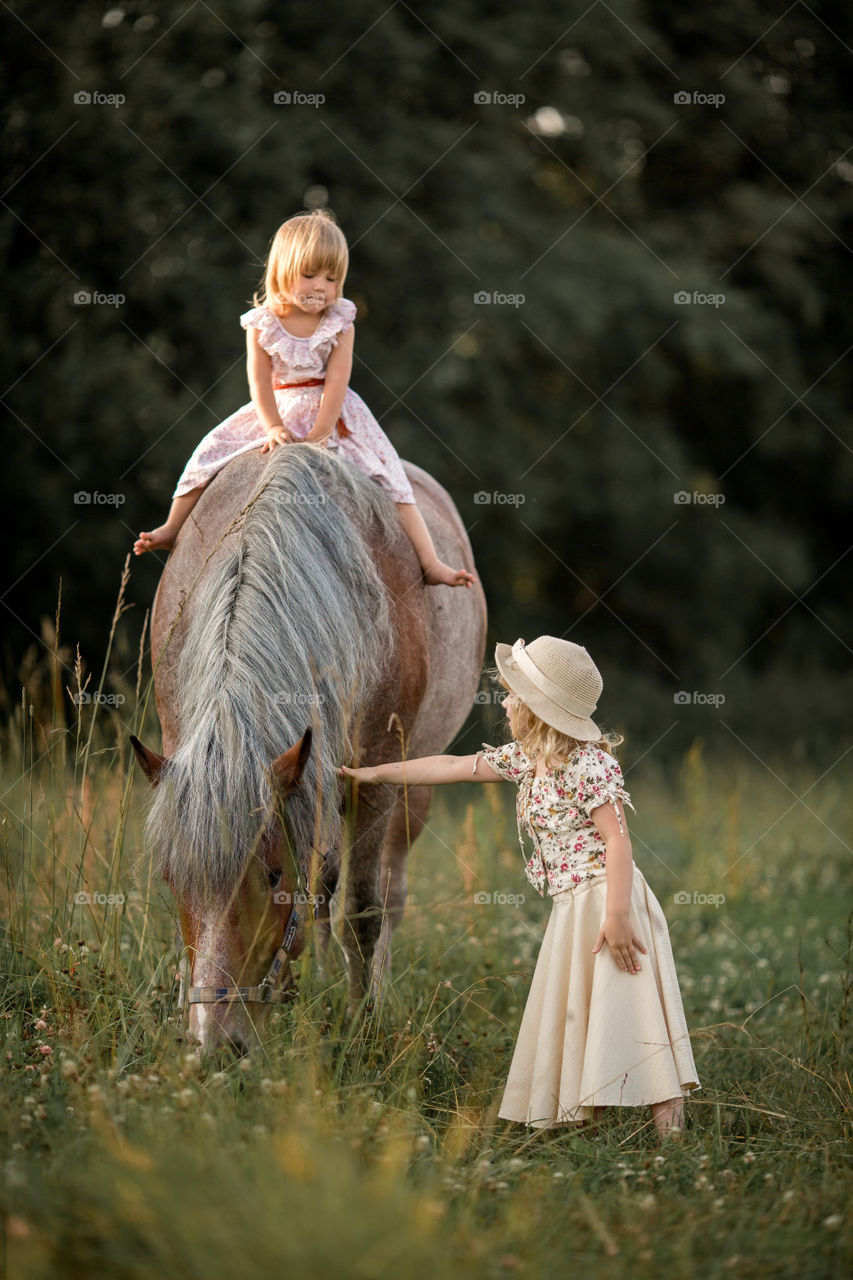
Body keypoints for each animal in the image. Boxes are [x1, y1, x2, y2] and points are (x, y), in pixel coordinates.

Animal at [128, 445, 481, 1054]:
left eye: (272, 877)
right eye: (172, 879)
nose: (215, 1043)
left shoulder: (374, 778)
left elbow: (362, 910)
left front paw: (362, 1026)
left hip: (410, 793)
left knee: (386, 894)